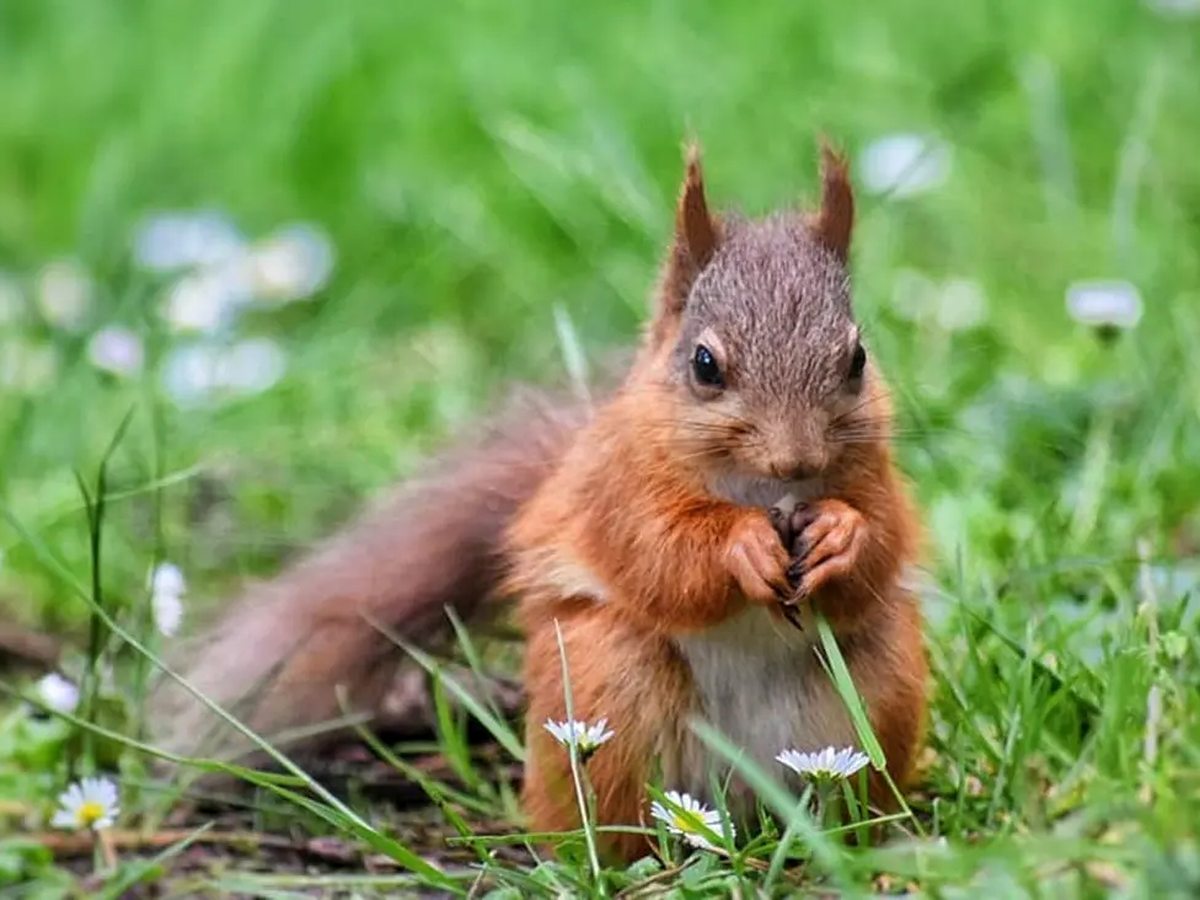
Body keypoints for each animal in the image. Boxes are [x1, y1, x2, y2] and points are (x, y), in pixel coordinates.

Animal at [153, 142, 926, 863]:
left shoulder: (876, 477)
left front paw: (841, 535)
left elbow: (882, 539)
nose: (797, 460)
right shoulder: (617, 487)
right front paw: (741, 544)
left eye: (857, 360)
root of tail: (736, 799)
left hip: (877, 688)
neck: (762, 492)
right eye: (705, 365)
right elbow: (658, 555)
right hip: (609, 682)